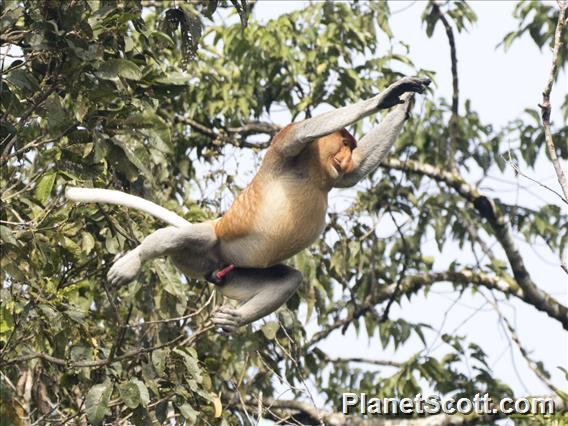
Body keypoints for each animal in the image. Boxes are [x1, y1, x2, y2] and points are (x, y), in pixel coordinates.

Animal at [66, 75, 430, 332]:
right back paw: (133, 261)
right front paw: (390, 95)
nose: (345, 157)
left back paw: (234, 320)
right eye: (343, 144)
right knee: (186, 237)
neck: (314, 170)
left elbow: (355, 174)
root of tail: (218, 266)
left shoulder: (332, 175)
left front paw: (404, 102)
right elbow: (305, 131)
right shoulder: (286, 147)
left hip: (234, 272)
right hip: (207, 248)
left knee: (289, 279)